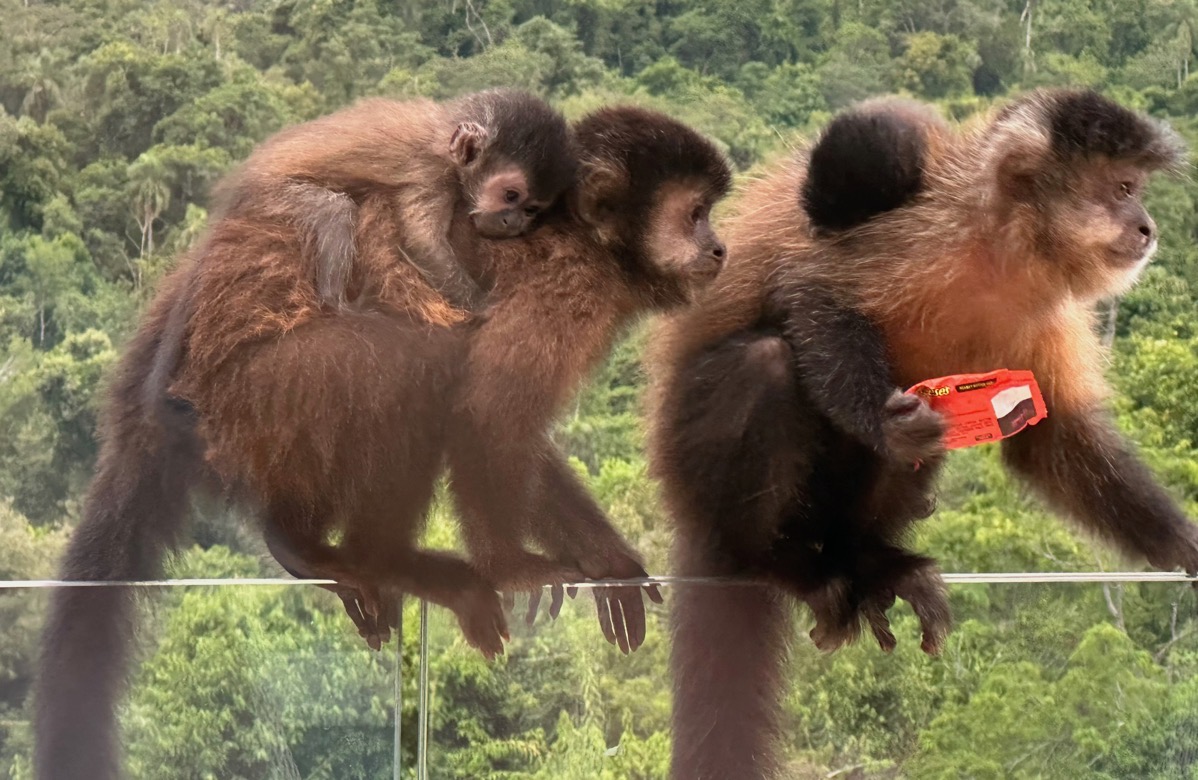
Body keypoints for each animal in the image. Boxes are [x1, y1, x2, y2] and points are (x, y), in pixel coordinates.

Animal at [35, 103, 728, 780]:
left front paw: (609, 561)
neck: (590, 246)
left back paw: (297, 540)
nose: (720, 246)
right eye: (696, 214)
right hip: (262, 390)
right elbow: (486, 417)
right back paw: (380, 558)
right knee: (419, 368)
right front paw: (513, 565)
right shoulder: (558, 294)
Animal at [651, 91, 1193, 780]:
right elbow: (811, 292)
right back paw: (772, 560)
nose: (1147, 226)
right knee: (769, 363)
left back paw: (868, 560)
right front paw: (884, 421)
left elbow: (1052, 439)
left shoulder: (1048, 304)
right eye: (1122, 188)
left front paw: (1184, 546)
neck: (1003, 251)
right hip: (685, 466)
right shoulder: (931, 230)